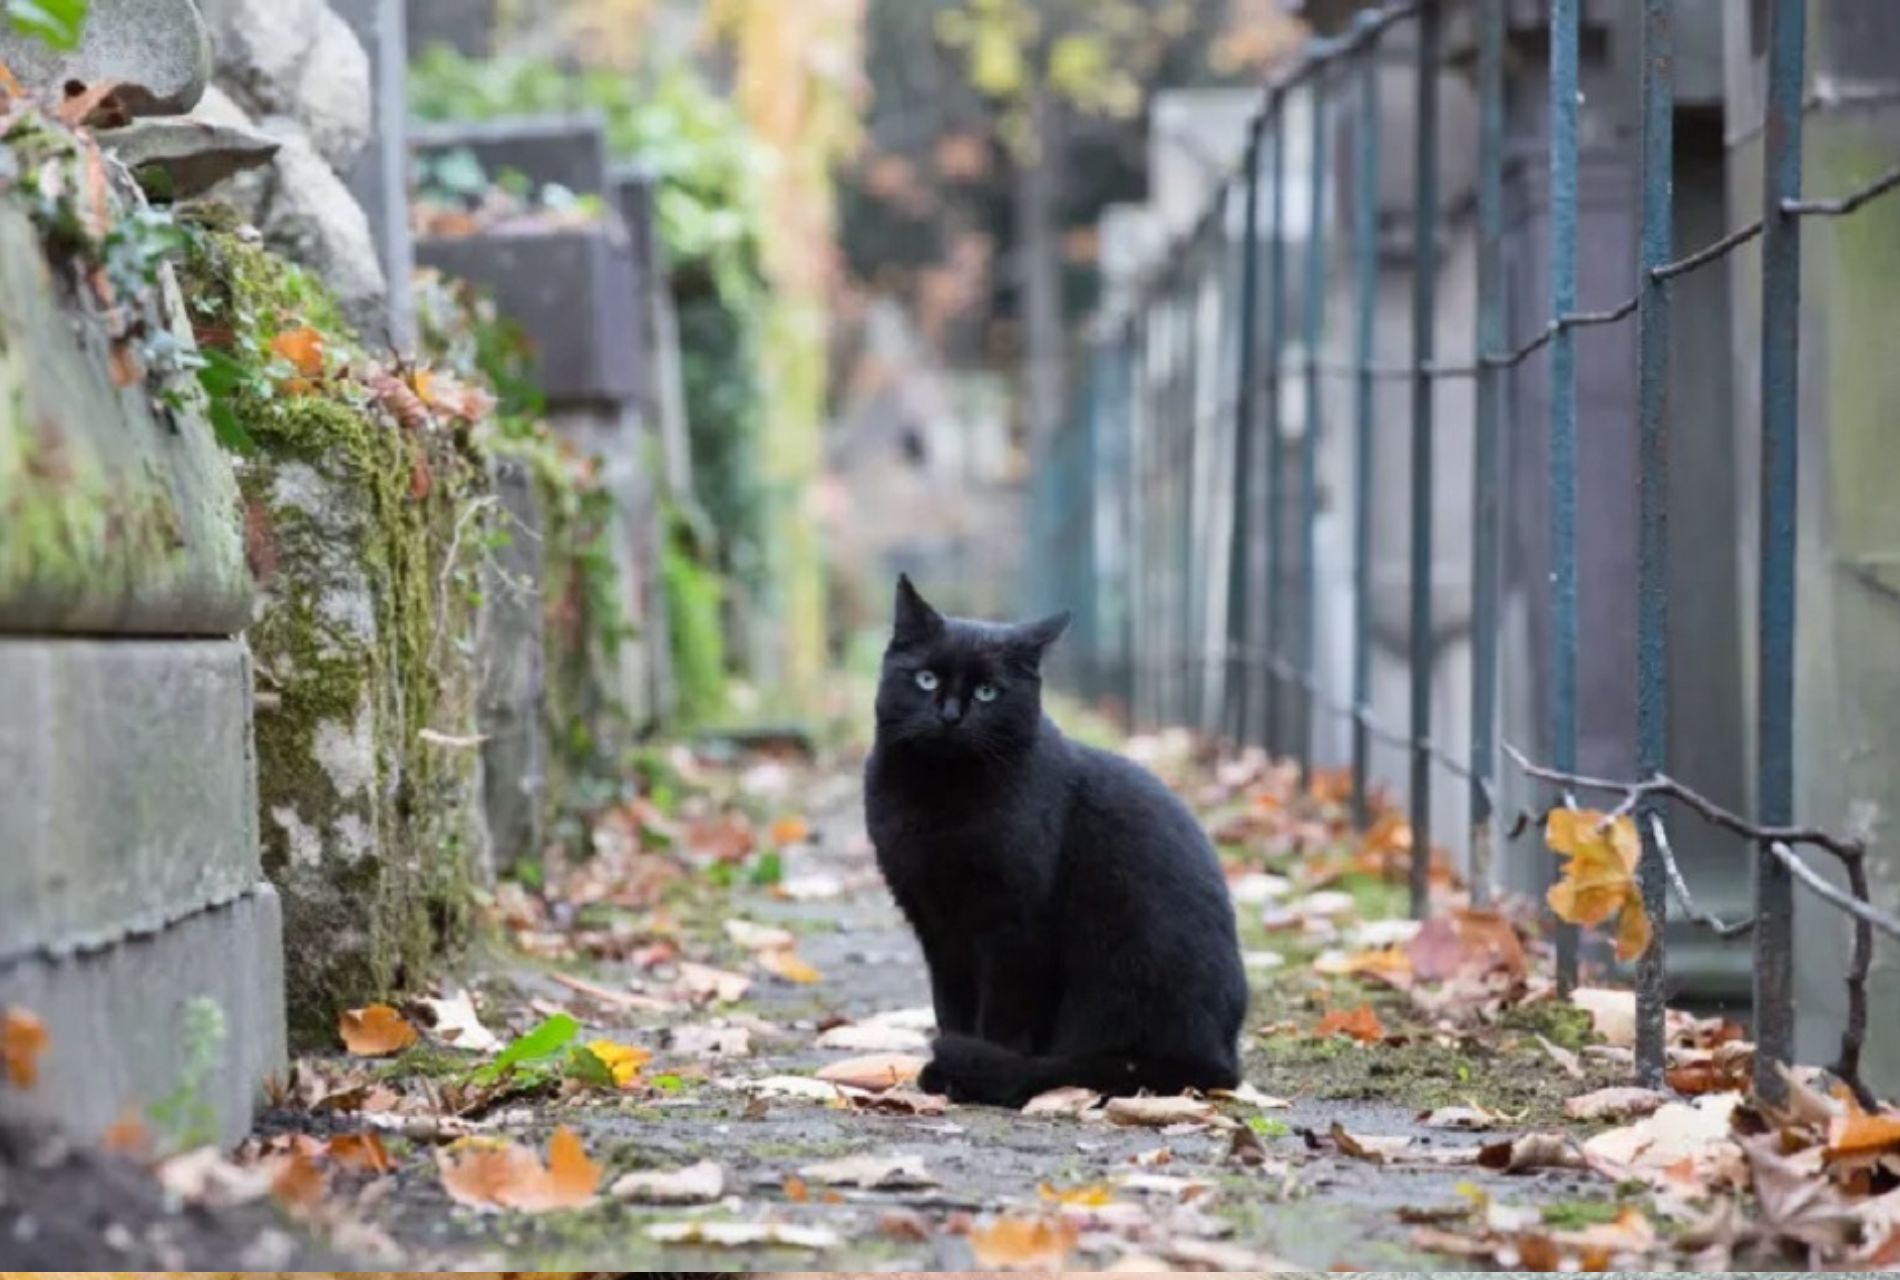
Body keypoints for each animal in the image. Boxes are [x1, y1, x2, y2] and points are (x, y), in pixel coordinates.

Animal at [862, 573, 1246, 1101]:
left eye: (988, 692)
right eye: (926, 679)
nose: (951, 715)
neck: (939, 796)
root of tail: (1220, 1061)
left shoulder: (1014, 926)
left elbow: (1001, 1016)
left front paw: (972, 1073)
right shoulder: (937, 927)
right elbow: (950, 1007)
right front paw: (949, 1072)